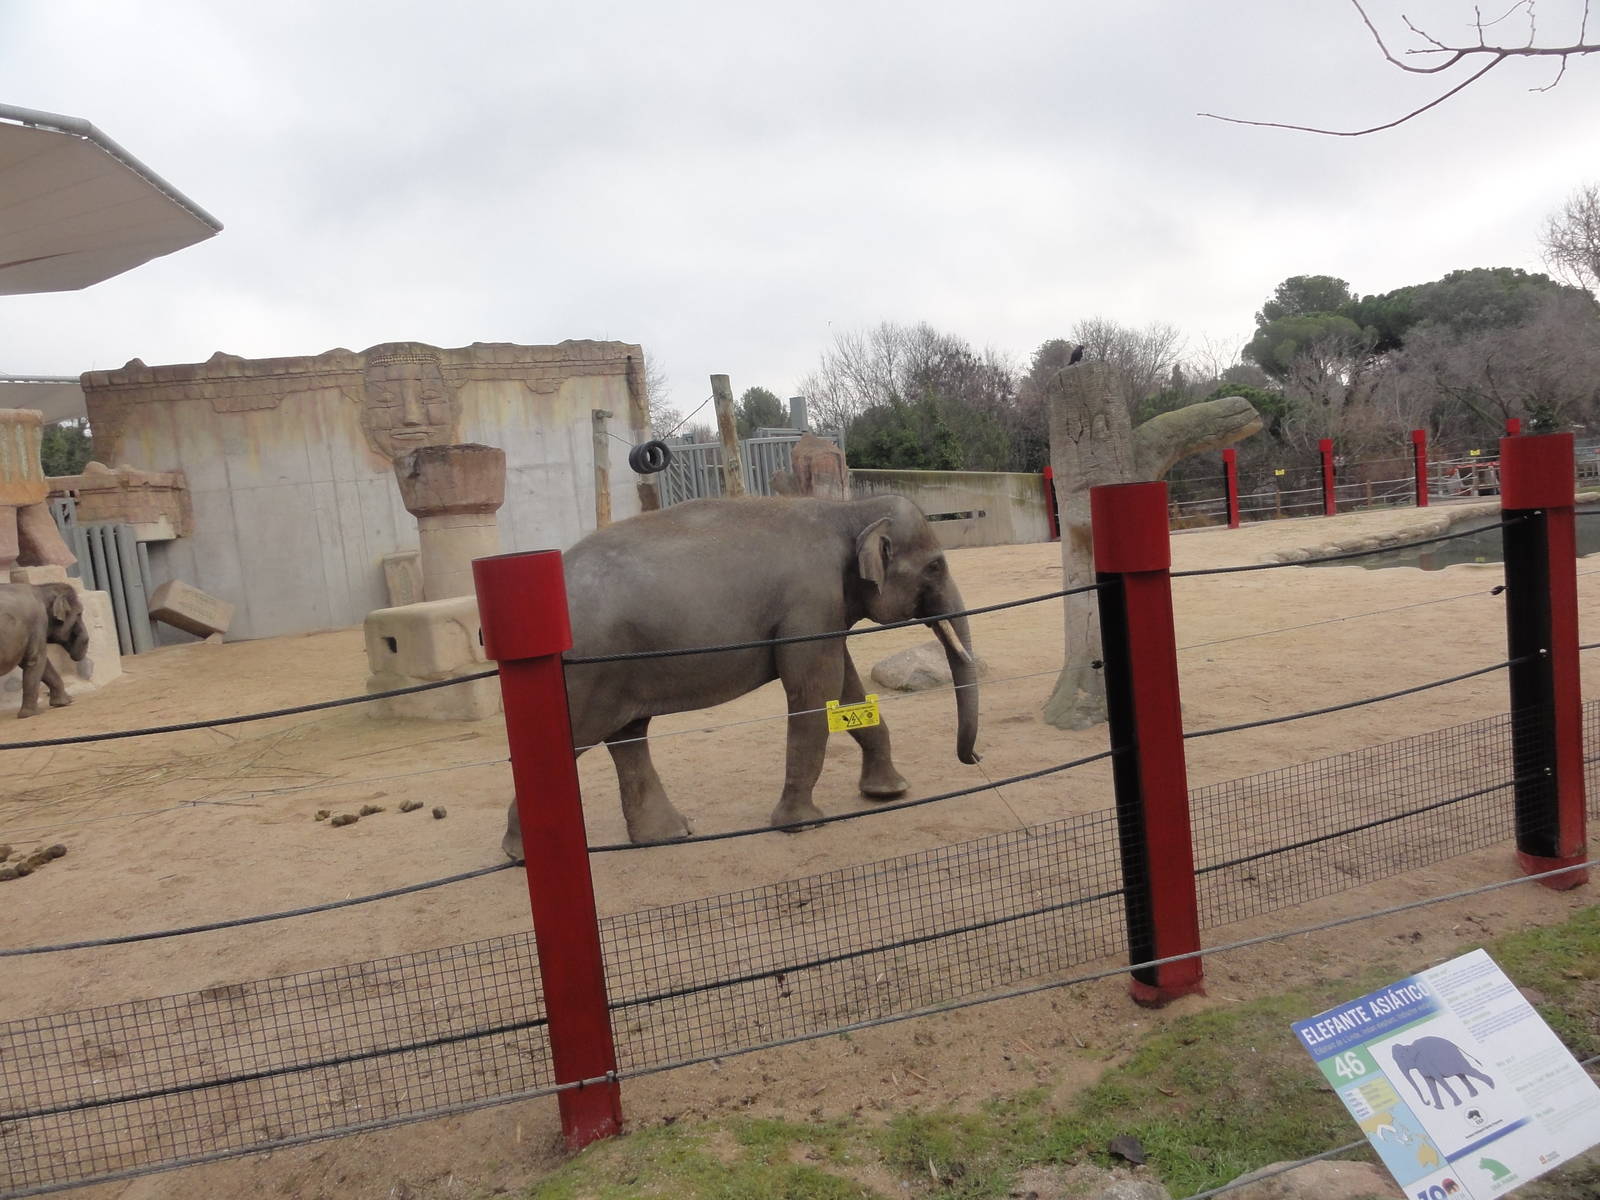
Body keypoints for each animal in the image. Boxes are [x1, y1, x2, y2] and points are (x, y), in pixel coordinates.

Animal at [0, 582, 90, 719]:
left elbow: (42, 664)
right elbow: (36, 659)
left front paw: (65, 702)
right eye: (79, 613)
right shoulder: (38, 622)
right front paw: (30, 714)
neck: (41, 588)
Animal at [500, 495, 981, 860]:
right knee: (577, 739)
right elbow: (814, 691)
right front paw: (801, 825)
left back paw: (670, 834)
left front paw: (890, 793)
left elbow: (844, 691)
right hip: (584, 672)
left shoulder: (824, 612)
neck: (847, 509)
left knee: (629, 736)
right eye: (936, 566)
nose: (972, 758)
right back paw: (522, 854)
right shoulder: (810, 602)